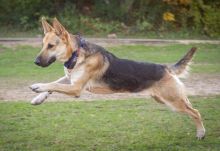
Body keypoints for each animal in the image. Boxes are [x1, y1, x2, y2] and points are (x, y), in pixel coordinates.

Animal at [29, 17, 205, 139]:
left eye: (51, 46)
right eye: (42, 45)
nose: (35, 62)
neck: (76, 53)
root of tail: (165, 68)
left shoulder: (76, 88)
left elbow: (53, 85)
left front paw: (38, 86)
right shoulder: (71, 80)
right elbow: (54, 84)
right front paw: (39, 98)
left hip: (173, 102)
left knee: (196, 112)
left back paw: (201, 133)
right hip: (166, 99)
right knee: (191, 106)